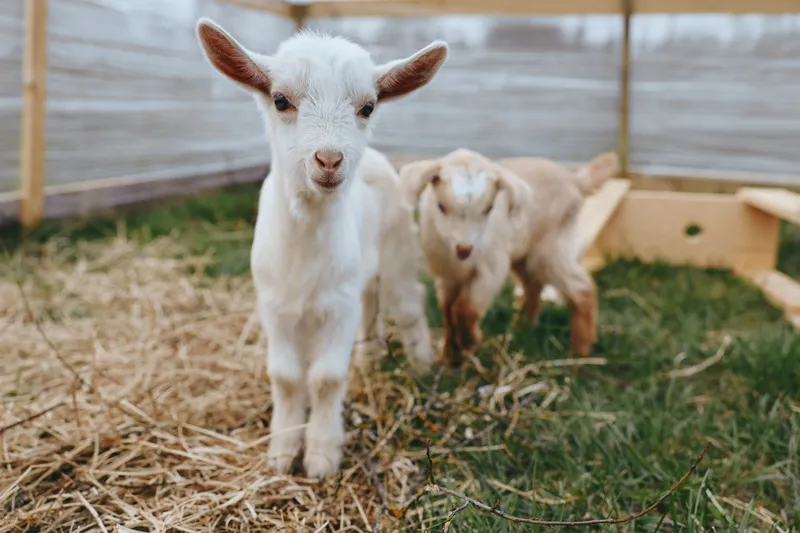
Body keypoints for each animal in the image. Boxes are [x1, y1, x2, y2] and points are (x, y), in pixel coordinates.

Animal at [196, 19, 448, 478]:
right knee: (371, 303)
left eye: (368, 107)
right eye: (280, 100)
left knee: (407, 304)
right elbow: (285, 376)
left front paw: (321, 455)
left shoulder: (336, 307)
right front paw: (282, 450)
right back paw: (369, 357)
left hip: (398, 252)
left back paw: (421, 364)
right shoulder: (274, 305)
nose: (329, 160)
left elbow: (327, 378)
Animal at [400, 148, 618, 366]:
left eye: (489, 208)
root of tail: (574, 179)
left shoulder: (491, 269)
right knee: (533, 285)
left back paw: (579, 353)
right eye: (441, 206)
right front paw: (448, 358)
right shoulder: (447, 276)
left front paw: (469, 342)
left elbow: (464, 308)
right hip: (524, 253)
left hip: (550, 247)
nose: (464, 249)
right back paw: (522, 327)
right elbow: (447, 310)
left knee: (581, 287)